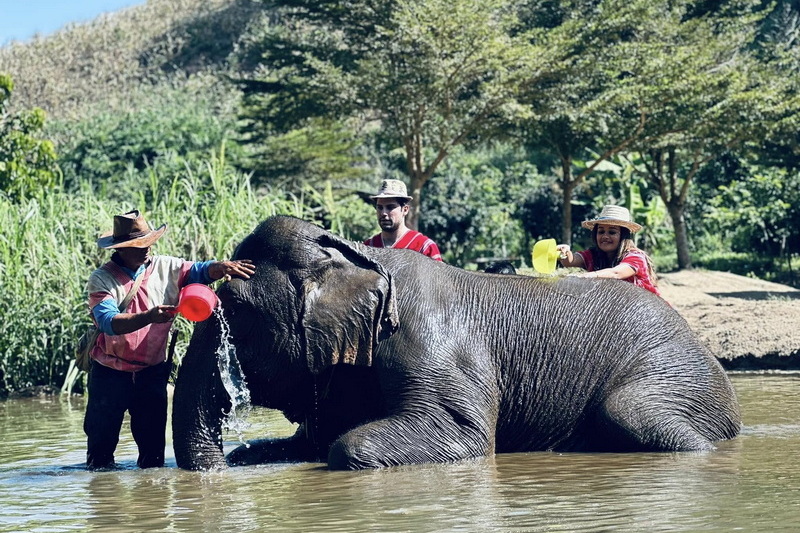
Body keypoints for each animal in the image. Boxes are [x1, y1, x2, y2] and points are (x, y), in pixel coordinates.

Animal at [172, 215, 741, 471]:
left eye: (236, 314)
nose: (218, 476)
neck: (355, 255)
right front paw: (256, 454)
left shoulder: (430, 341)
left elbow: (457, 437)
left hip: (675, 376)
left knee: (636, 415)